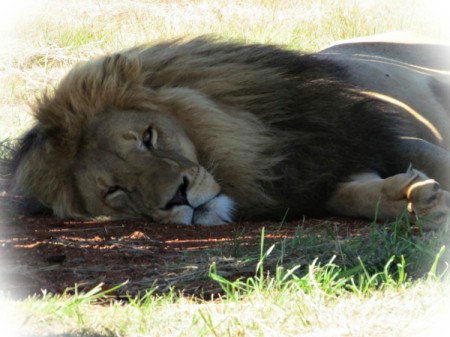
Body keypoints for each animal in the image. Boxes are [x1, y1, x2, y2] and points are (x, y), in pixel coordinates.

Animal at [7, 34, 450, 228]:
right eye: (114, 191)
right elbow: (353, 197)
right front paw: (412, 200)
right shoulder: (311, 177)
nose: (177, 198)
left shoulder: (373, 137)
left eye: (148, 137)